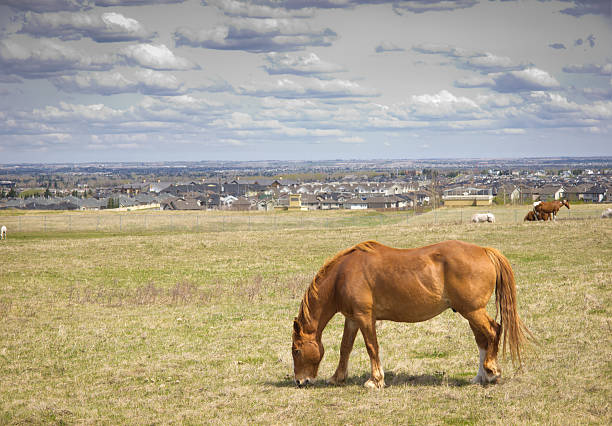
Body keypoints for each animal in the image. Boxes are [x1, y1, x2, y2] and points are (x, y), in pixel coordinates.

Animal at [292, 241, 532, 388]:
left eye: (296, 351)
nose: (300, 381)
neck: (343, 275)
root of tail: (483, 250)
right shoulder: (351, 319)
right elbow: (345, 348)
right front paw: (337, 377)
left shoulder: (364, 317)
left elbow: (371, 347)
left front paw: (375, 380)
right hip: (470, 312)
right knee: (482, 339)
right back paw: (481, 376)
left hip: (473, 311)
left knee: (493, 331)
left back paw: (492, 371)